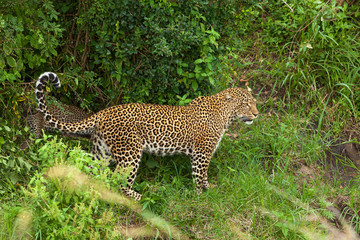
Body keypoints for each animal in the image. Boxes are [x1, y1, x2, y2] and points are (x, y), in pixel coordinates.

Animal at [34, 71, 258, 201]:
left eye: (254, 102)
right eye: (247, 104)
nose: (256, 114)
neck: (225, 115)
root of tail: (104, 112)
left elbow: (204, 176)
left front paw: (208, 189)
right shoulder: (202, 152)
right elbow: (199, 174)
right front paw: (201, 196)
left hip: (101, 151)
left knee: (94, 172)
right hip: (130, 152)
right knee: (119, 180)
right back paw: (141, 197)